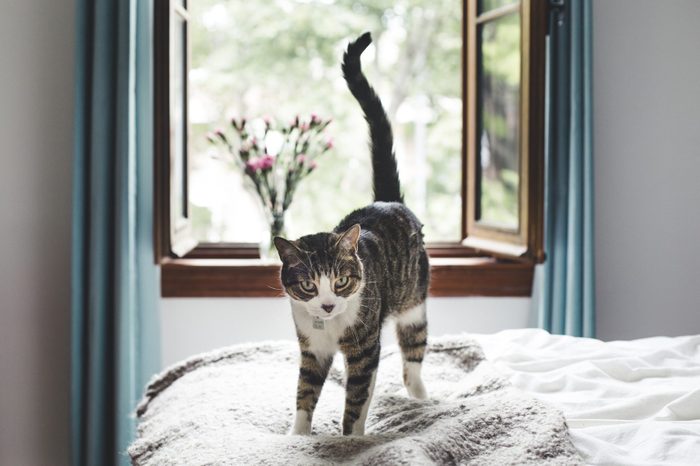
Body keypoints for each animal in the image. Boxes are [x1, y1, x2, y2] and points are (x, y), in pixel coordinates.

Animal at [274, 32, 430, 436]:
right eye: (309, 286)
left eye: (342, 281)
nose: (328, 305)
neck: (329, 325)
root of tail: (388, 200)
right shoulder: (312, 346)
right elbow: (304, 391)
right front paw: (297, 437)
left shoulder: (364, 348)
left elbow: (357, 397)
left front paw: (350, 441)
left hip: (413, 303)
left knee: (413, 355)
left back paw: (422, 398)